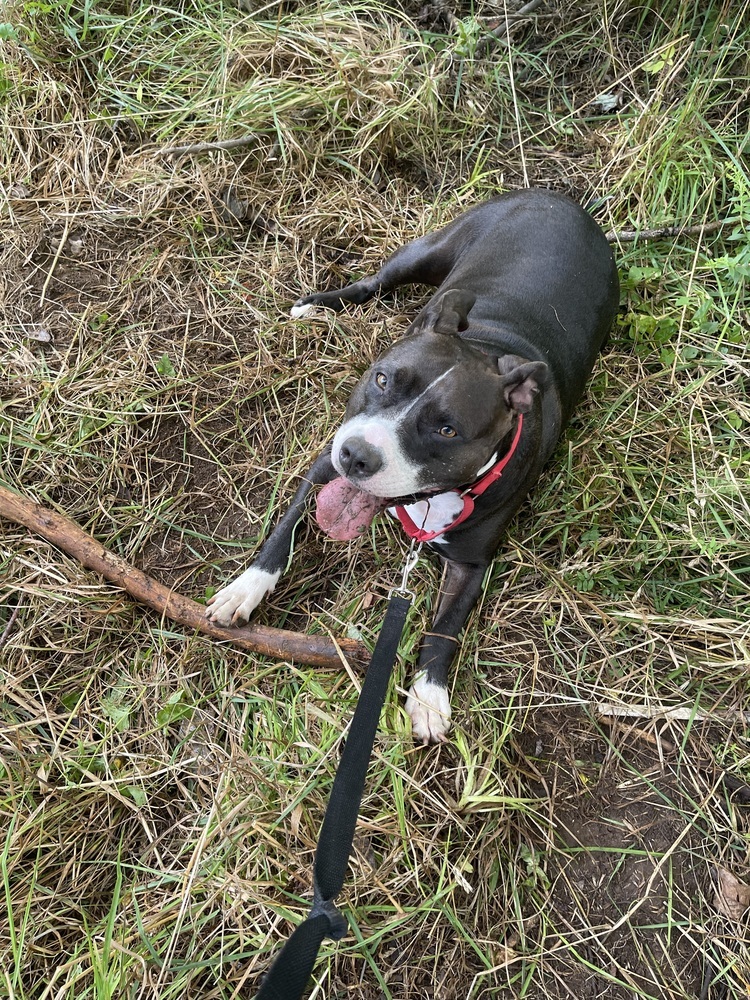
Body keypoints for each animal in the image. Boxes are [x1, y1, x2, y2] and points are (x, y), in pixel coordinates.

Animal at [207, 191, 624, 744]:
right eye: (382, 379)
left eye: (447, 430)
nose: (356, 455)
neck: (492, 350)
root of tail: (565, 201)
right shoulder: (321, 470)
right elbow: (284, 530)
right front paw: (245, 588)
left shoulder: (471, 564)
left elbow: (445, 626)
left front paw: (429, 696)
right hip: (425, 253)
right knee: (374, 283)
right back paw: (314, 306)